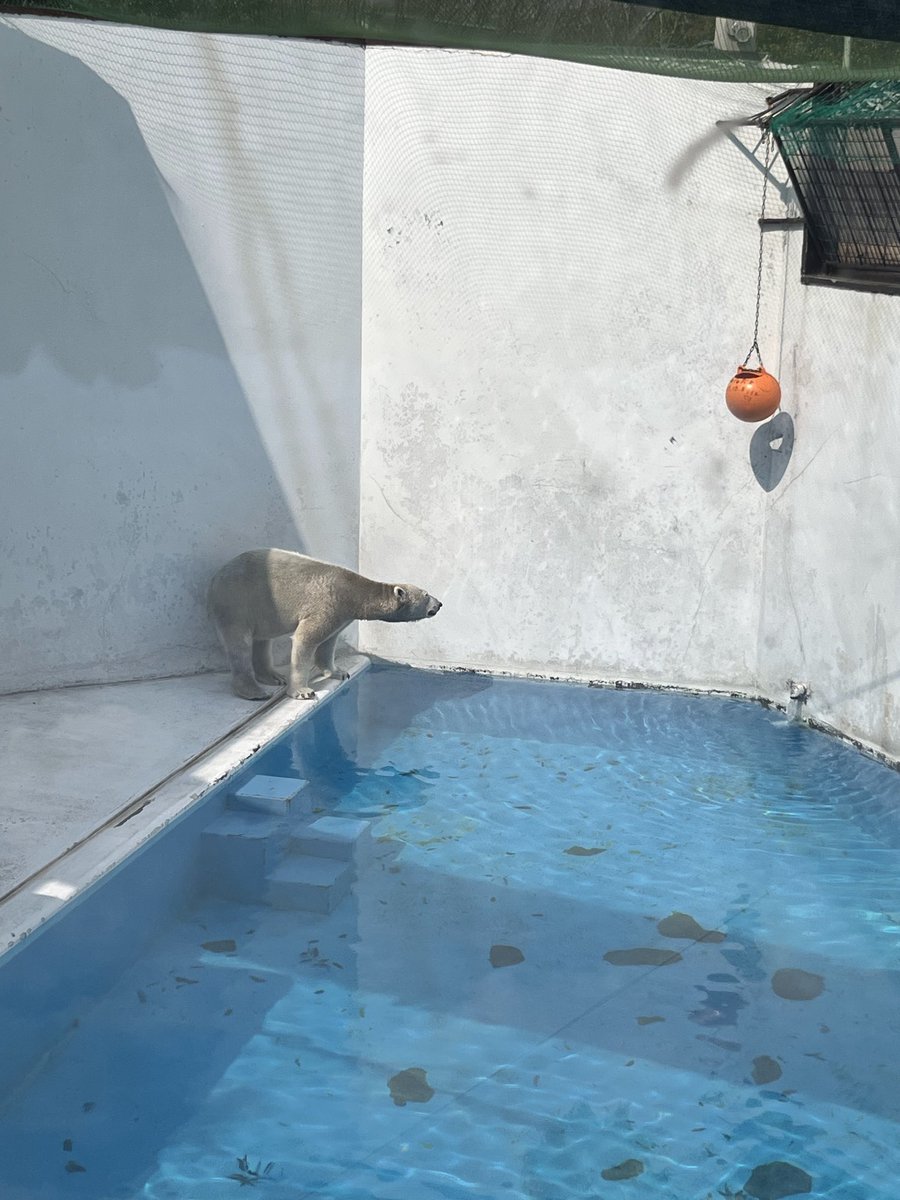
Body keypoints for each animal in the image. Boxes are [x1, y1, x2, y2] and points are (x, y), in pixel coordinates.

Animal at [207, 548, 442, 701]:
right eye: (426, 593)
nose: (439, 604)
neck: (353, 592)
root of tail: (216, 577)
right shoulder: (327, 604)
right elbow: (306, 639)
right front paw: (303, 691)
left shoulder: (341, 615)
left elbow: (328, 643)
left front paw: (339, 672)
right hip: (237, 601)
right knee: (240, 645)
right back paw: (254, 691)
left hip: (261, 610)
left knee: (263, 640)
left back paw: (273, 676)